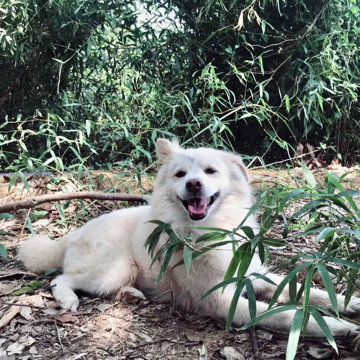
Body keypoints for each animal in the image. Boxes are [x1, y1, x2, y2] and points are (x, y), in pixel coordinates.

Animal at [18, 139, 360, 338]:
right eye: (181, 175)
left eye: (210, 171)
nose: (194, 184)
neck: (214, 232)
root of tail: (72, 235)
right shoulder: (224, 302)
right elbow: (285, 315)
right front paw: (338, 327)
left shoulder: (253, 277)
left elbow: (307, 291)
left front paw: (350, 302)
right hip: (112, 267)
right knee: (61, 278)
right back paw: (69, 299)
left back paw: (131, 295)